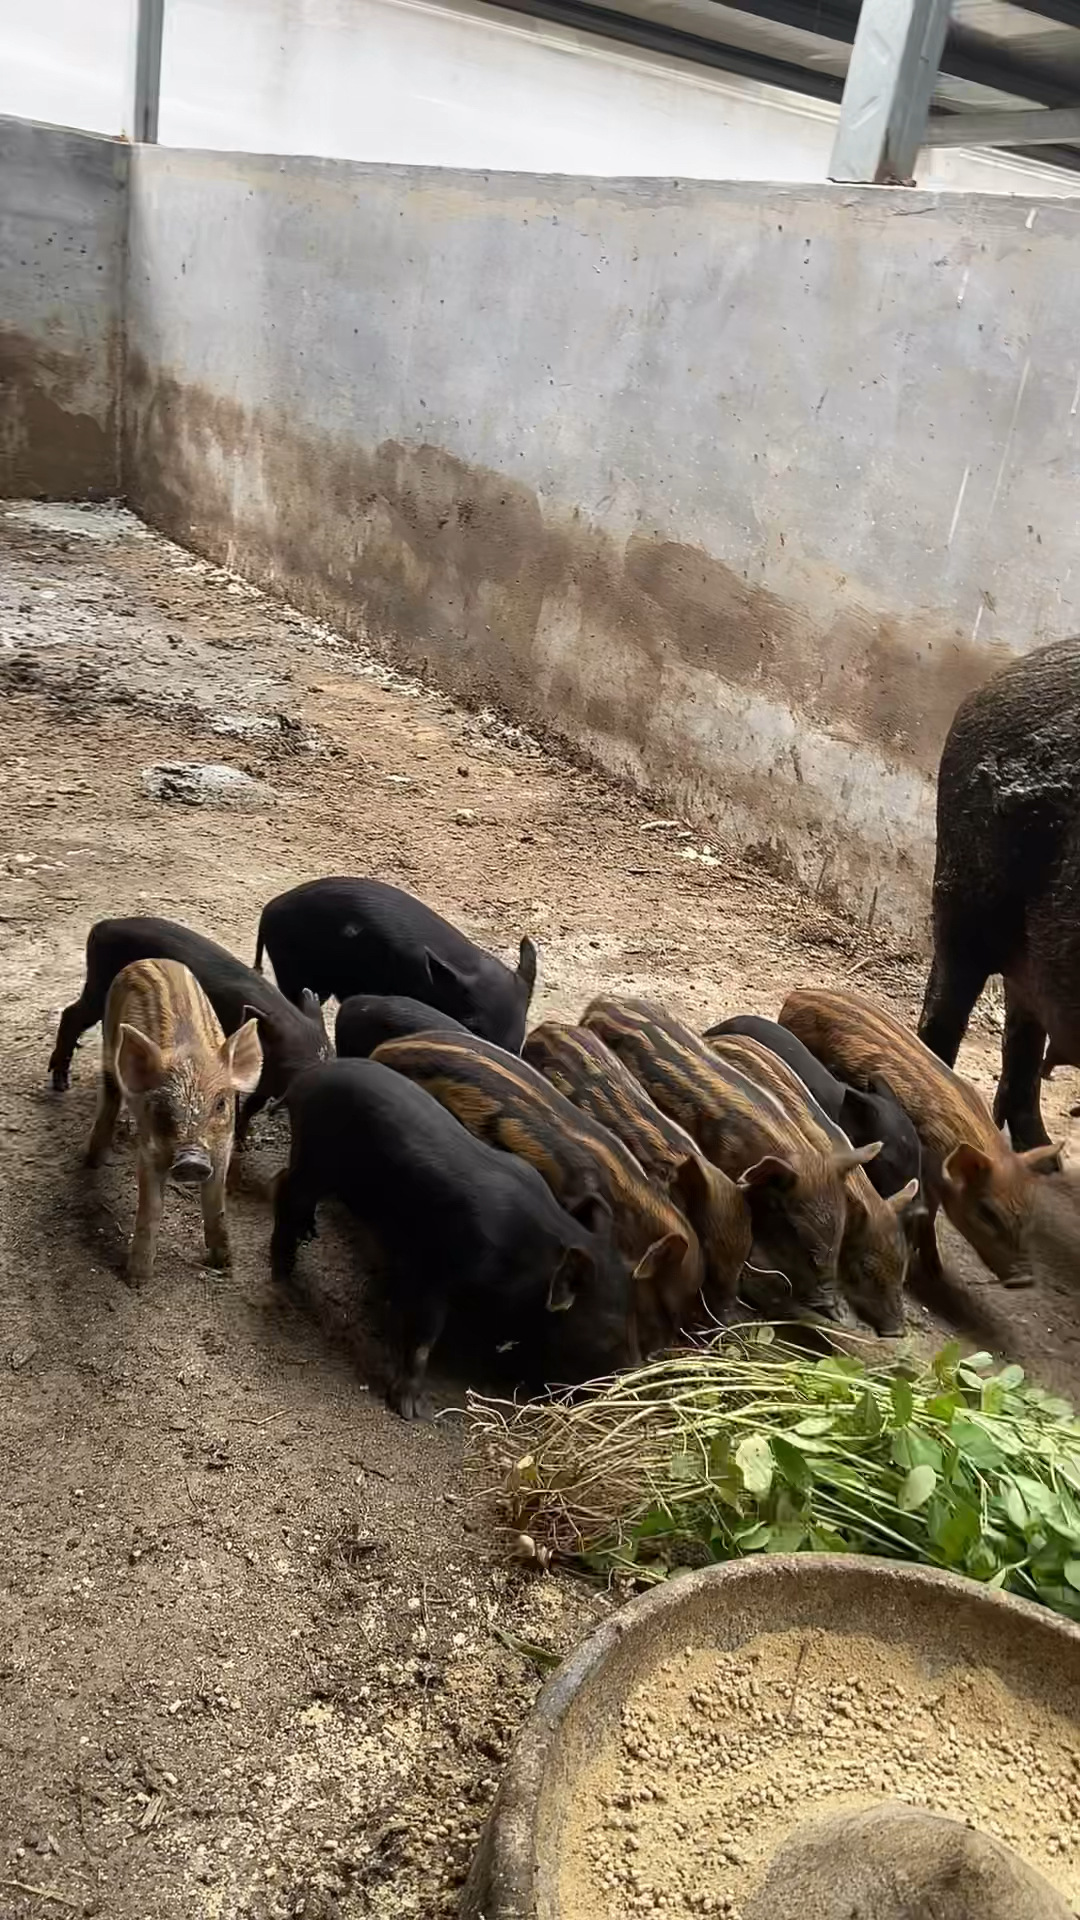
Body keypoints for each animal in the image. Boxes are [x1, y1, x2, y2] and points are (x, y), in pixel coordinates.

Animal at [50, 913, 328, 1136]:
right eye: (293, 1067)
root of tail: (102, 926)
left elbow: (253, 1104)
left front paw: (243, 1138)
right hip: (100, 986)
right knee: (71, 1015)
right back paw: (61, 1084)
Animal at [272, 1059, 634, 1420]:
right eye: (610, 1328)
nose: (628, 1373)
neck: (530, 1256)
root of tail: (304, 1080)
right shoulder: (435, 1273)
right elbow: (423, 1339)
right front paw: (414, 1411)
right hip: (313, 1161)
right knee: (285, 1188)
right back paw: (284, 1280)